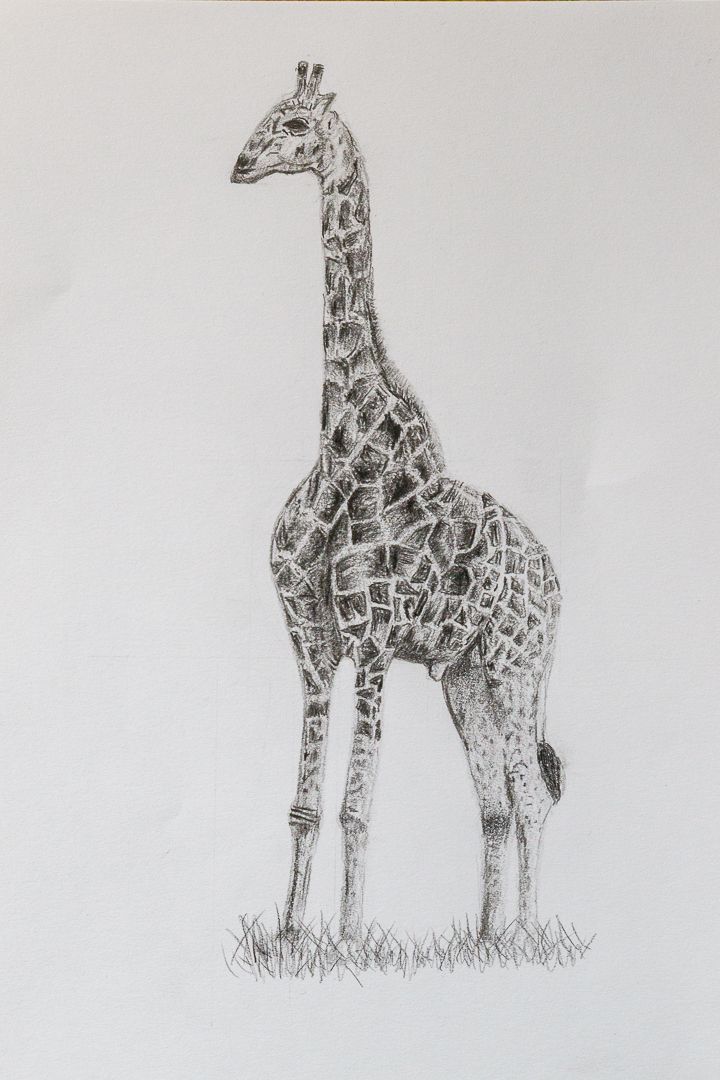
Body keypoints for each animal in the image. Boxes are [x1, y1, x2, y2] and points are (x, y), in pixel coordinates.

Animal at [231, 63, 564, 943]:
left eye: (294, 127)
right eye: (268, 119)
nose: (241, 164)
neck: (342, 443)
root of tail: (554, 577)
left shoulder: (374, 641)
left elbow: (356, 807)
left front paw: (347, 941)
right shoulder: (313, 647)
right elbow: (305, 807)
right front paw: (289, 936)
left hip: (519, 667)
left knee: (531, 795)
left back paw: (527, 937)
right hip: (465, 677)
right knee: (494, 800)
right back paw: (483, 940)